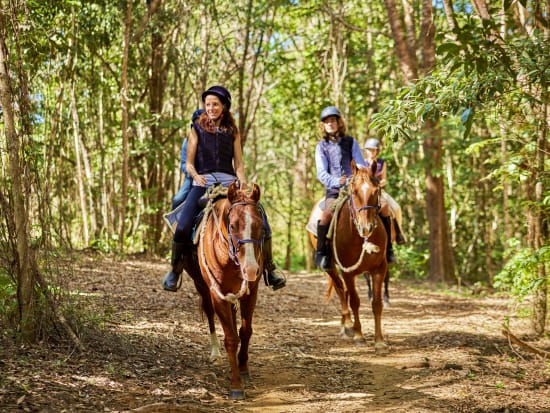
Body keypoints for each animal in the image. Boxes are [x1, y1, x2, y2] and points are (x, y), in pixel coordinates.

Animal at [183, 181, 266, 400]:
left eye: (260, 225)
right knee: (210, 314)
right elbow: (230, 338)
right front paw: (236, 385)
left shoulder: (251, 291)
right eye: (233, 225)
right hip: (202, 287)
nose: (251, 269)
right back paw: (215, 352)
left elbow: (245, 331)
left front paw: (243, 369)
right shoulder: (217, 294)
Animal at [310, 159, 392, 352]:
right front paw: (359, 335)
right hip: (332, 268)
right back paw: (347, 325)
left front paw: (379, 341)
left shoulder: (379, 268)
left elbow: (376, 303)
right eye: (354, 191)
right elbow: (355, 300)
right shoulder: (348, 272)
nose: (366, 227)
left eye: (376, 190)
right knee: (341, 290)